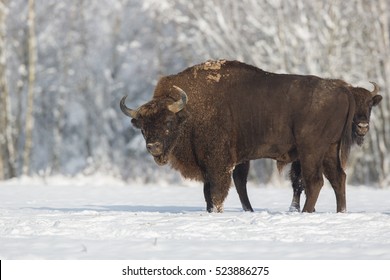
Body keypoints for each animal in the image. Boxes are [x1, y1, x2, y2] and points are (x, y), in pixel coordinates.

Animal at [121, 59, 356, 212]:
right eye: (142, 127)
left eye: (168, 122)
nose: (153, 147)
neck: (189, 111)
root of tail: (342, 88)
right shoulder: (212, 165)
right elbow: (213, 191)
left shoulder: (218, 163)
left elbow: (217, 192)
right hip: (329, 150)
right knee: (338, 178)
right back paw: (340, 212)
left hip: (311, 151)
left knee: (315, 182)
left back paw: (307, 212)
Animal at [233, 82, 382, 212]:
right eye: (355, 104)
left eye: (370, 105)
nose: (363, 126)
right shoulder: (301, 159)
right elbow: (298, 181)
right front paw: (295, 208)